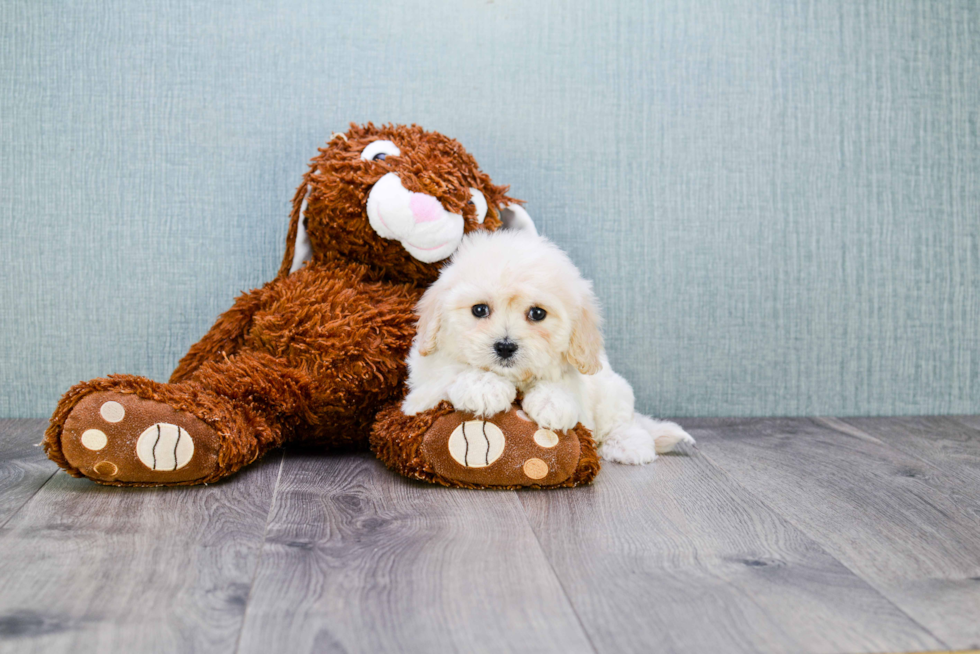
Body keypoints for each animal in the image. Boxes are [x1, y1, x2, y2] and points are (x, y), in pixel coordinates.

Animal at [402, 231, 692, 466]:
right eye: (479, 310)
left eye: (537, 313)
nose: (505, 346)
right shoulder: (420, 393)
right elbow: (452, 370)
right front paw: (484, 387)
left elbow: (562, 386)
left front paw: (552, 404)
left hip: (613, 391)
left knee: (622, 422)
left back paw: (629, 445)